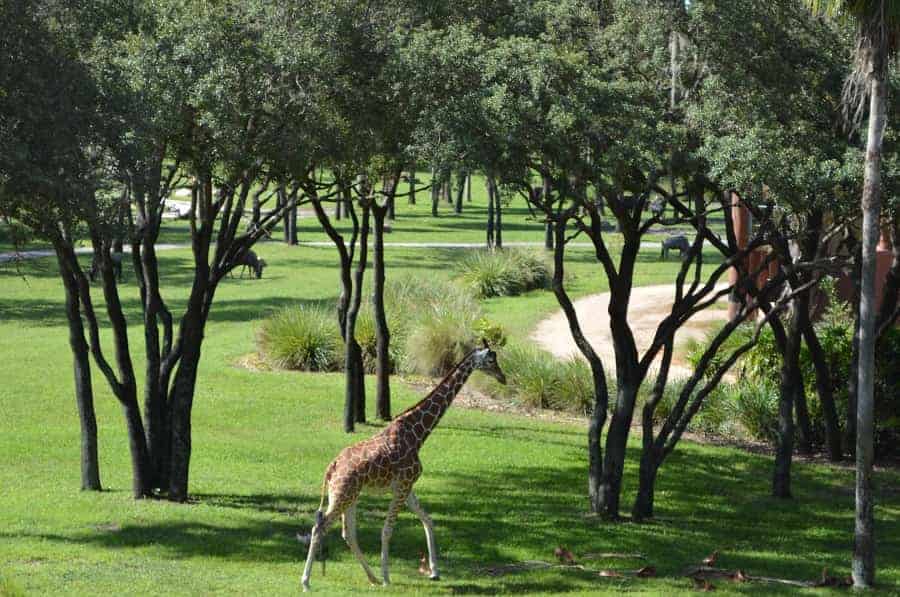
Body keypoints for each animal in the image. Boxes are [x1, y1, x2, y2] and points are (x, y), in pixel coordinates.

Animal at [298, 342, 502, 588]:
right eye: (491, 360)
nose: (502, 378)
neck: (418, 434)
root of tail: (332, 466)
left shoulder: (407, 487)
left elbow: (428, 519)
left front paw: (434, 572)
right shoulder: (402, 486)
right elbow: (387, 530)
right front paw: (388, 578)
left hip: (347, 495)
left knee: (348, 533)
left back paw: (372, 577)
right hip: (342, 495)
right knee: (319, 527)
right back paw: (307, 581)